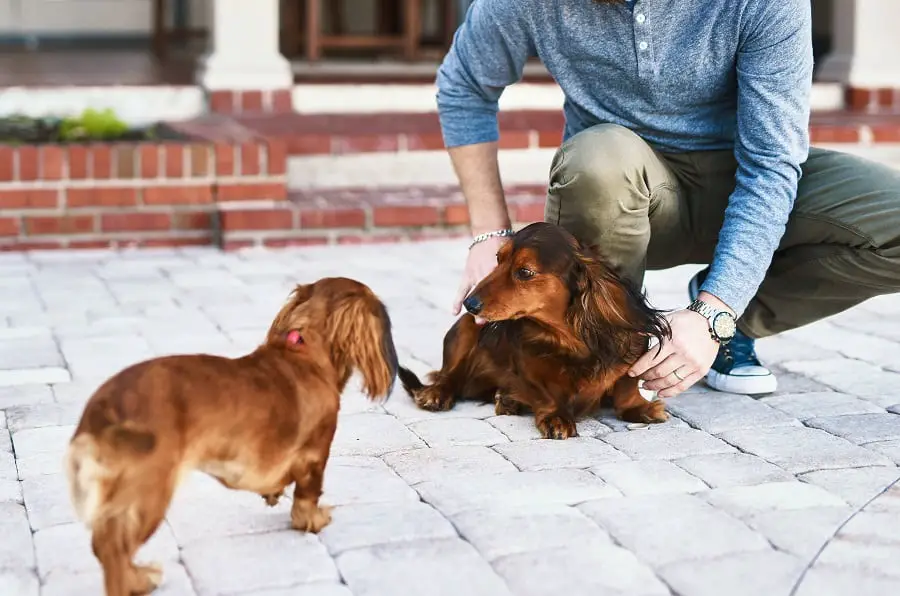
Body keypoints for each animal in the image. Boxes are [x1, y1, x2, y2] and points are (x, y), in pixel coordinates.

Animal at [63, 278, 398, 596]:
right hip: (149, 493)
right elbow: (308, 497)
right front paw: (313, 520)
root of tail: (101, 408)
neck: (305, 354)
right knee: (113, 551)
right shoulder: (315, 455)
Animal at [400, 221, 668, 440]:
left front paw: (639, 408)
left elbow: (626, 385)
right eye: (498, 259)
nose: (469, 304)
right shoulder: (529, 364)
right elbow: (544, 391)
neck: (570, 339)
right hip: (466, 329)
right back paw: (440, 393)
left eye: (525, 272)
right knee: (451, 375)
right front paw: (556, 416)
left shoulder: (630, 352)